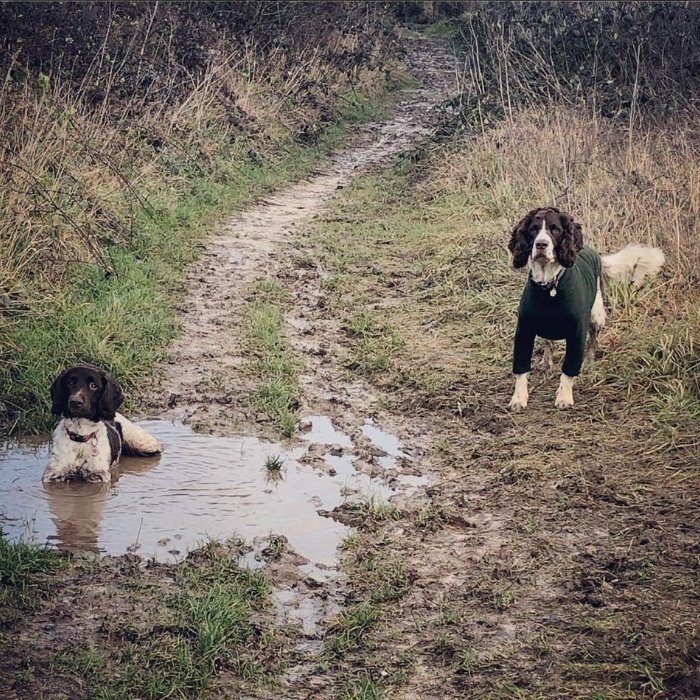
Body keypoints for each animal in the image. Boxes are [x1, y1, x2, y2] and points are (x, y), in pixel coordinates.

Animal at [507, 207, 664, 410]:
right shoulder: (524, 329)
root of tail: (594, 253)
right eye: (533, 229)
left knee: (593, 341)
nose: (541, 244)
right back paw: (546, 362)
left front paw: (564, 396)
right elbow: (521, 370)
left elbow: (569, 369)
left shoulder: (576, 332)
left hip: (597, 316)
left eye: (555, 230)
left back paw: (588, 363)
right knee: (548, 341)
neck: (549, 285)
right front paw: (518, 398)